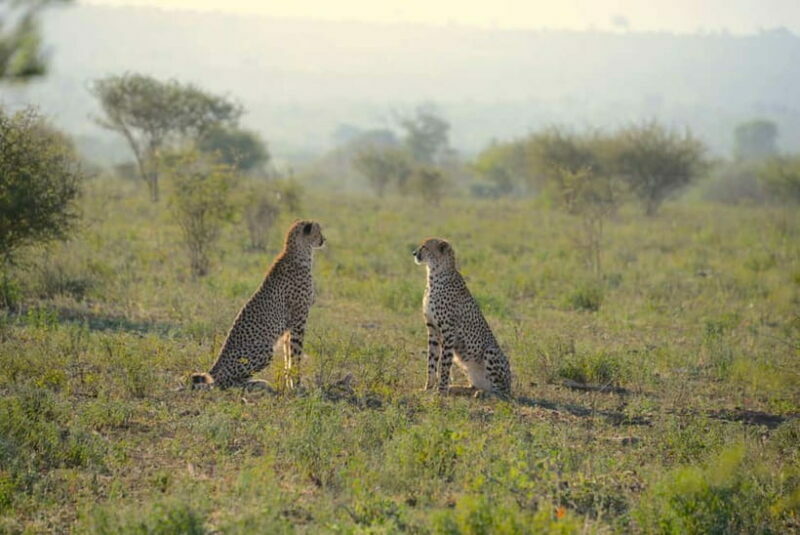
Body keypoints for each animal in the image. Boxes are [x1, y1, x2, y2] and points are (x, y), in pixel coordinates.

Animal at [191, 220, 325, 391]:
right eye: (318, 231)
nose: (324, 240)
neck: (300, 252)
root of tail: (215, 366)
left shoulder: (289, 328)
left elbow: (288, 356)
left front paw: (290, 384)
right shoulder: (298, 321)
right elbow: (295, 356)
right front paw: (297, 385)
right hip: (265, 350)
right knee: (224, 383)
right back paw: (257, 384)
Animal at [413, 238, 512, 398]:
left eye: (425, 247)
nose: (414, 253)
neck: (435, 274)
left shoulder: (448, 333)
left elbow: (444, 364)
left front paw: (441, 390)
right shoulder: (432, 329)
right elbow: (431, 362)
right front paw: (428, 387)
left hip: (491, 351)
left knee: (502, 392)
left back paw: (485, 394)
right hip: (466, 365)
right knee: (474, 386)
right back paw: (458, 388)